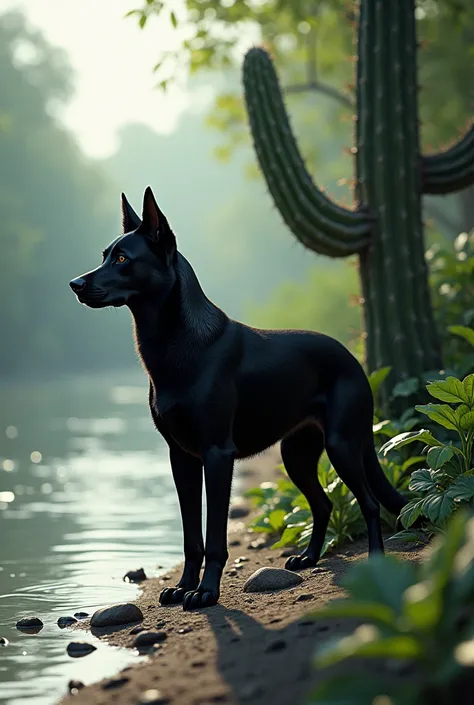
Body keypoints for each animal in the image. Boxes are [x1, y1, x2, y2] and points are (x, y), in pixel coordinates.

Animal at [70, 187, 408, 612]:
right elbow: (191, 537)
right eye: (104, 254)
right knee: (323, 503)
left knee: (369, 503)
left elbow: (215, 535)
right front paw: (182, 586)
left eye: (122, 259)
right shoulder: (181, 458)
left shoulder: (217, 454)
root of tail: (353, 359)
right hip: (297, 453)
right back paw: (309, 558)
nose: (74, 284)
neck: (175, 343)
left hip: (342, 444)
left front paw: (206, 592)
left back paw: (375, 563)